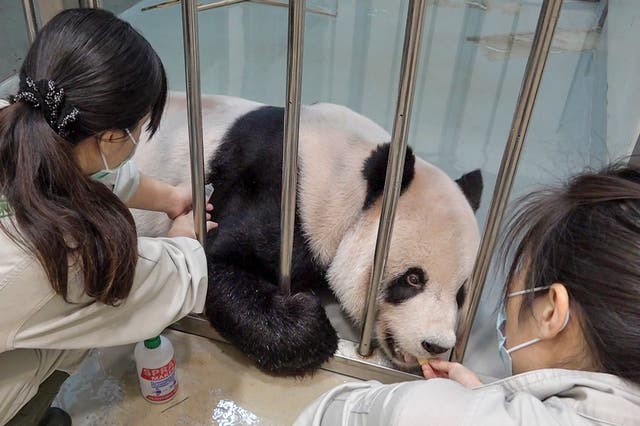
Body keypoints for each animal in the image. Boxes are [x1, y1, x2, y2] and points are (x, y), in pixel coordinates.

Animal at [136, 92, 484, 372]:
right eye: (413, 279)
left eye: (461, 293)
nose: (436, 344)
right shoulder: (281, 196)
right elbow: (214, 261)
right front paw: (311, 321)